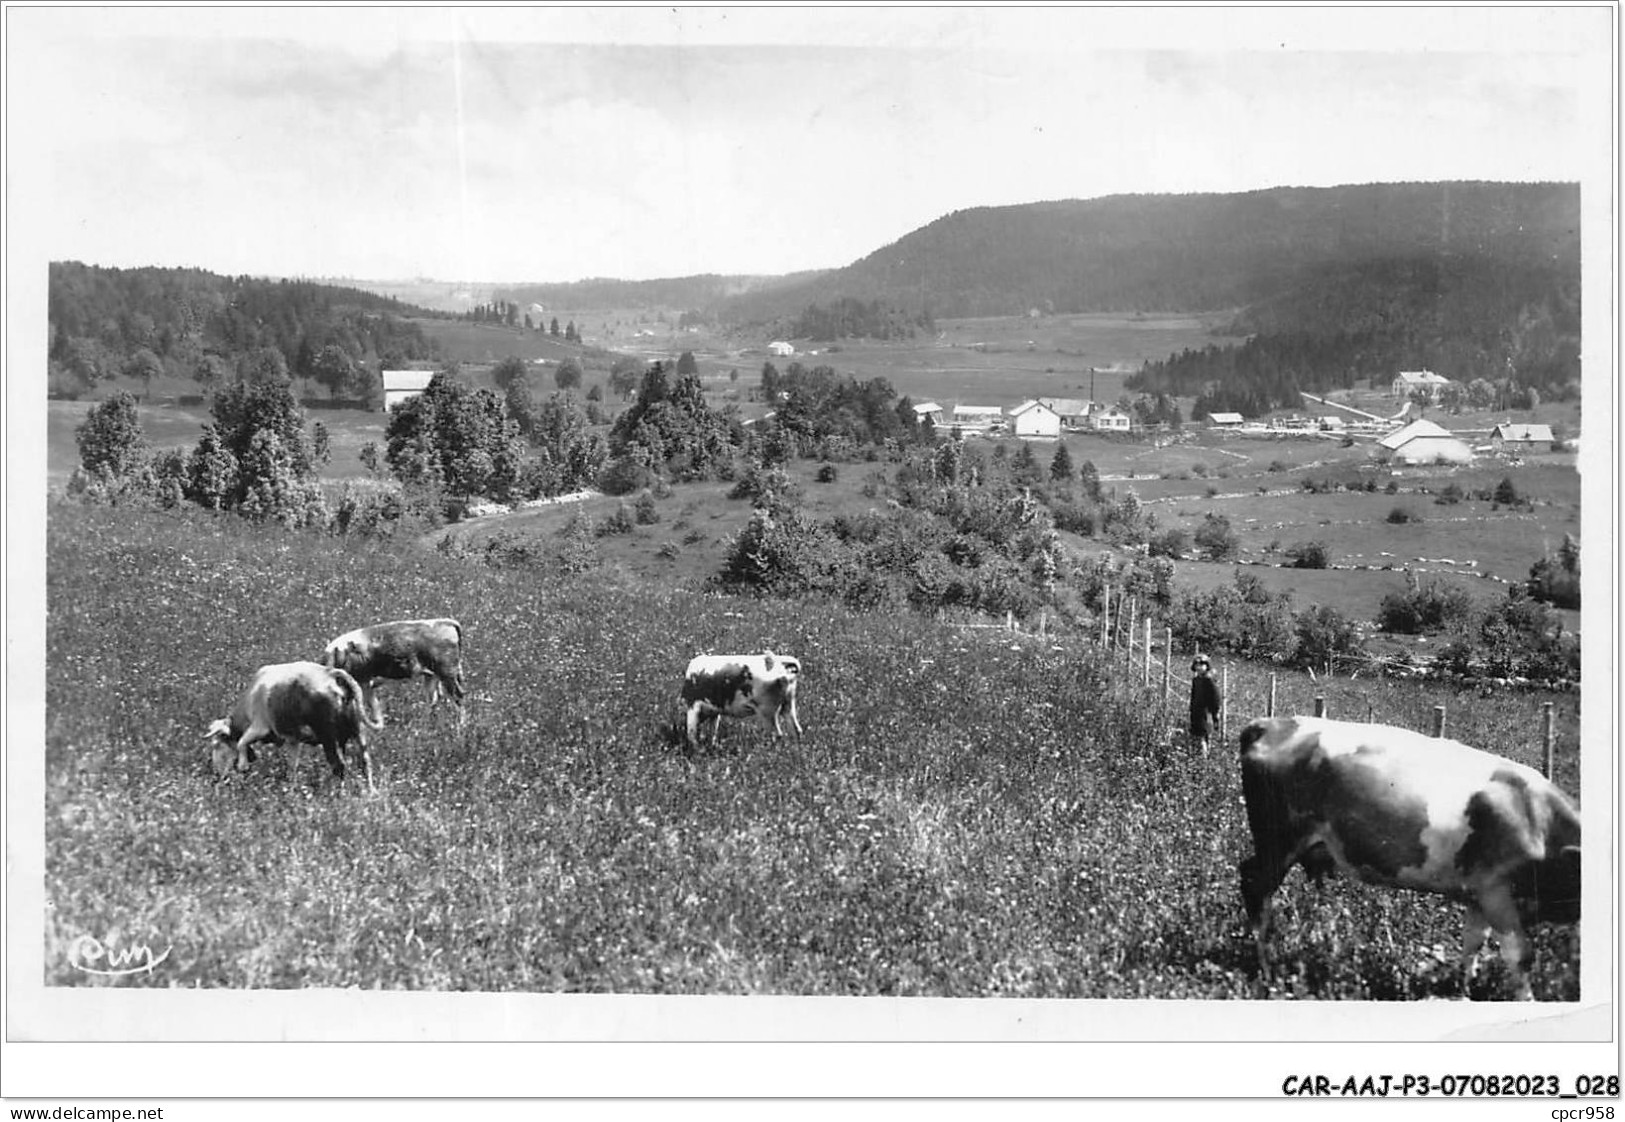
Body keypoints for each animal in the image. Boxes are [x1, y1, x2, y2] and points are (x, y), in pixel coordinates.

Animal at [201, 660, 378, 790]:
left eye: (216, 745)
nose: (216, 776)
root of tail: (331, 673)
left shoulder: (259, 727)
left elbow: (241, 742)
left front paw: (242, 765)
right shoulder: (293, 739)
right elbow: (292, 765)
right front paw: (291, 789)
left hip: (328, 737)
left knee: (339, 766)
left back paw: (340, 793)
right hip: (358, 731)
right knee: (365, 762)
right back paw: (370, 792)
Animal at [1235, 712, 1579, 995]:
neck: (1538, 817)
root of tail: (1267, 724)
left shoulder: (1477, 892)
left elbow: (1472, 944)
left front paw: (1464, 989)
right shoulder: (1497, 890)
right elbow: (1520, 957)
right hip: (1278, 840)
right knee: (1254, 883)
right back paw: (1267, 968)